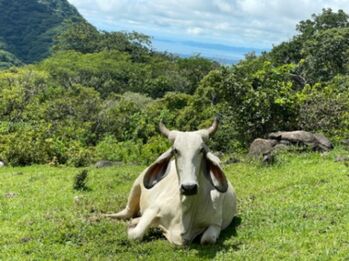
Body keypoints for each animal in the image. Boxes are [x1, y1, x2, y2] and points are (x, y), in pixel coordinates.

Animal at [103, 118, 237, 244]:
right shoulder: (153, 209)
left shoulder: (216, 223)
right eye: (176, 150)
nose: (189, 187)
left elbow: (207, 239)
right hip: (136, 187)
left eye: (201, 150)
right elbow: (135, 235)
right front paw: (132, 226)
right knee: (126, 212)